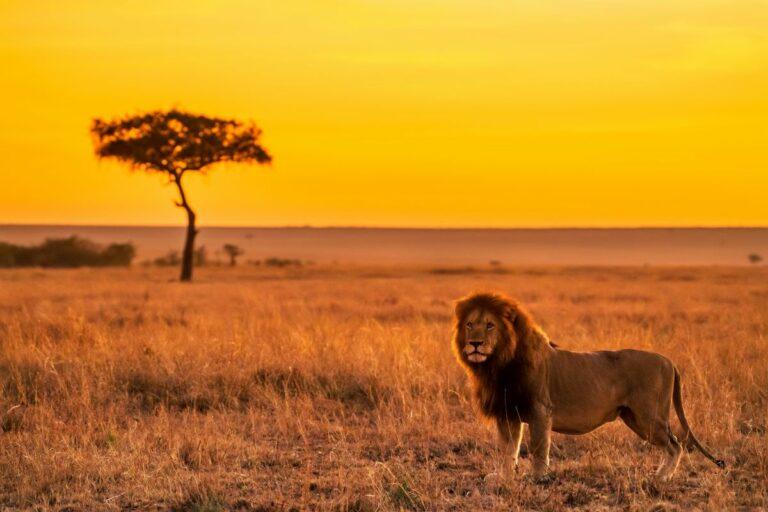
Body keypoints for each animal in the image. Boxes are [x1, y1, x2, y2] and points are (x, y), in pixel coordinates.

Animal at [452, 292, 725, 482]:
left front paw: (538, 478)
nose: (475, 344)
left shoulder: (540, 410)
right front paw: (504, 477)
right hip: (634, 418)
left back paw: (661, 477)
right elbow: (508, 449)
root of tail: (668, 361)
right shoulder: (508, 413)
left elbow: (538, 447)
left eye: (490, 325)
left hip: (649, 416)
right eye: (469, 325)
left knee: (676, 444)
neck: (498, 364)